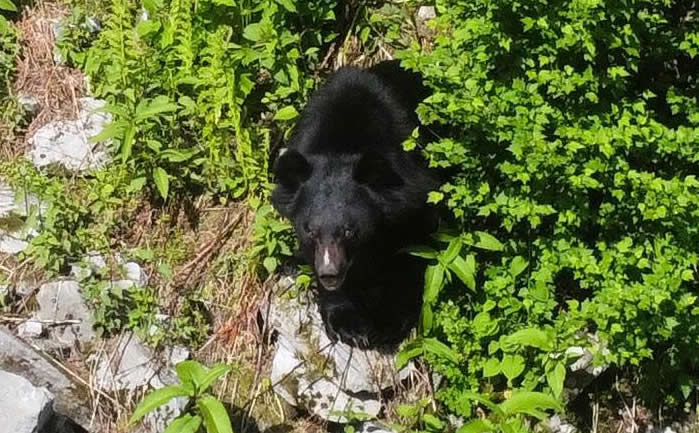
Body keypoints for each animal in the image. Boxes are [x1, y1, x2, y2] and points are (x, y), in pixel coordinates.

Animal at [271, 60, 439, 349]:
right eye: (310, 230)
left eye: (350, 230)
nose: (329, 273)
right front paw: (348, 325)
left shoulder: (414, 195)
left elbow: (413, 252)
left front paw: (386, 323)